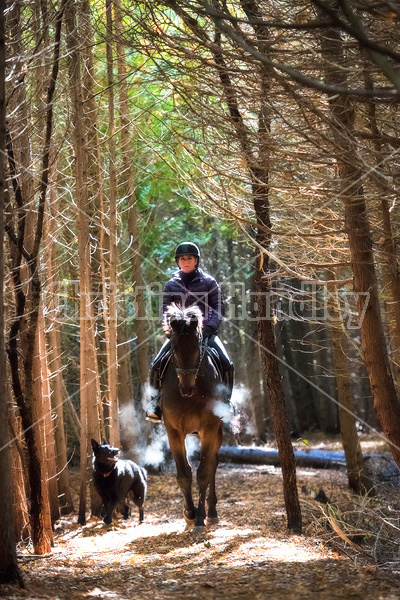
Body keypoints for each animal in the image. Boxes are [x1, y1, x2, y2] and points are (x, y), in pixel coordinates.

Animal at [162, 308, 225, 528]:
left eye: (198, 347)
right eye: (173, 348)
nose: (186, 388)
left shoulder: (210, 427)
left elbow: (203, 472)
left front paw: (199, 516)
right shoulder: (173, 431)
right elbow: (184, 474)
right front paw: (189, 513)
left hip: (215, 431)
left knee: (213, 462)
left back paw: (212, 512)